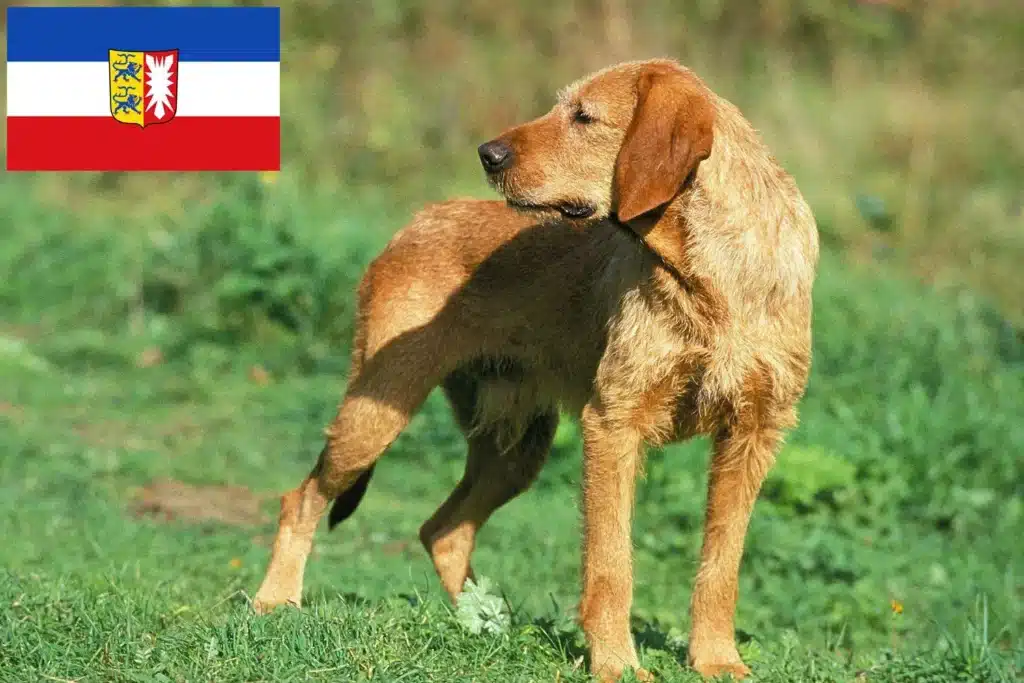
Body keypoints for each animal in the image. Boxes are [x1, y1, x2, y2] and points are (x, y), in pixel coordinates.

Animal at [253, 60, 815, 683]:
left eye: (584, 117)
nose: (487, 153)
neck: (710, 276)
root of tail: (419, 219)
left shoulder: (754, 432)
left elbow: (721, 564)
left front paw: (717, 661)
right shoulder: (614, 423)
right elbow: (611, 564)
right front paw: (617, 665)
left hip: (516, 451)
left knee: (444, 530)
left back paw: (480, 620)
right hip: (375, 414)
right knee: (301, 498)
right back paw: (275, 601)